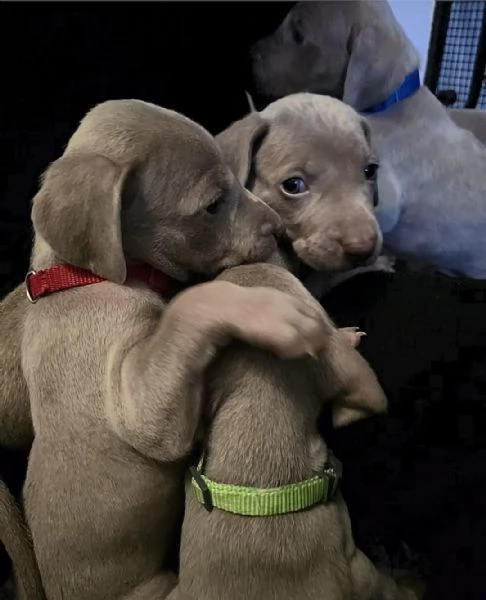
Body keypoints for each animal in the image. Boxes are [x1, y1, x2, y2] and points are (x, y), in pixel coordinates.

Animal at [20, 98, 332, 600]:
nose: (279, 230)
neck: (78, 277)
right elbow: (191, 305)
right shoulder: (140, 412)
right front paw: (274, 314)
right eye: (212, 205)